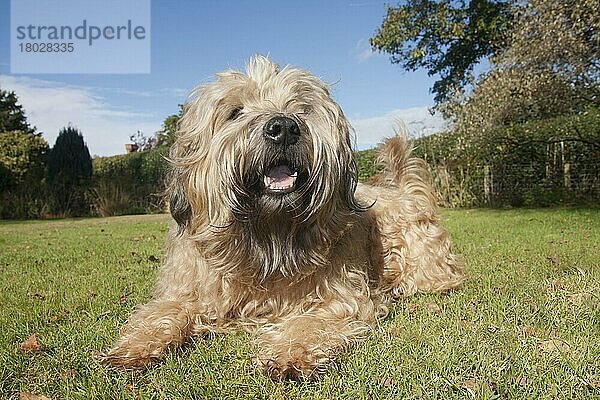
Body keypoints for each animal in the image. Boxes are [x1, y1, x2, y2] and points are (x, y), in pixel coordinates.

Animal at [103, 55, 466, 378]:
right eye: (235, 112)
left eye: (301, 109)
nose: (284, 127)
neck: (267, 236)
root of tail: (404, 191)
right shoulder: (188, 290)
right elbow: (162, 312)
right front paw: (133, 346)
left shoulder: (339, 298)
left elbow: (311, 321)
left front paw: (291, 353)